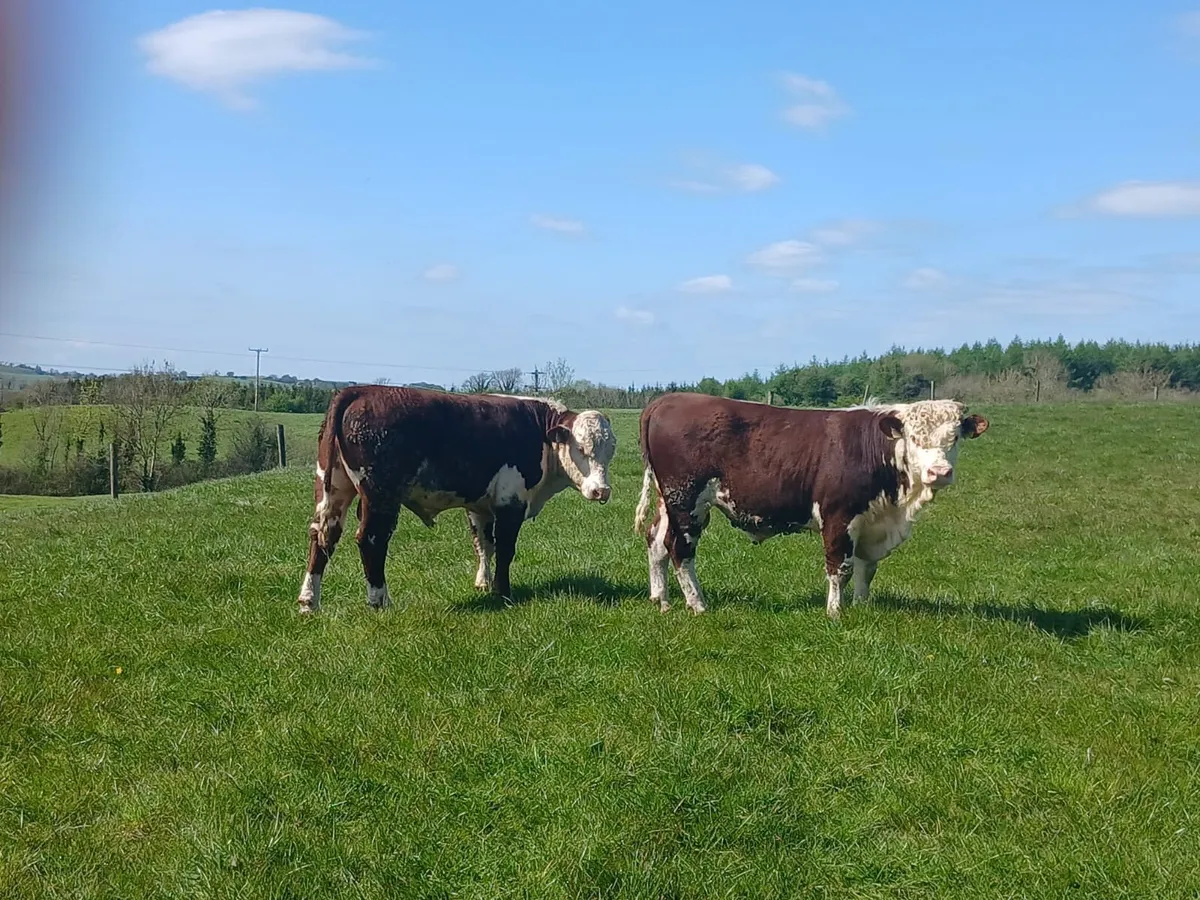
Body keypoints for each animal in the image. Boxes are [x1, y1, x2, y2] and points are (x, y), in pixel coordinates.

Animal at [298, 385, 616, 613]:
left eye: (609, 450)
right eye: (581, 448)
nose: (602, 490)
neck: (539, 434)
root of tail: (358, 390)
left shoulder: (480, 507)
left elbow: (484, 545)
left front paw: (483, 584)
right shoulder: (511, 501)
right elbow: (505, 549)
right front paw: (503, 592)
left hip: (332, 488)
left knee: (322, 536)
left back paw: (309, 601)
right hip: (380, 495)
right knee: (371, 540)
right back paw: (380, 601)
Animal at [633, 392, 989, 619]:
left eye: (955, 437)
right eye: (914, 438)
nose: (940, 472)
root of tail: (666, 399)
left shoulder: (871, 521)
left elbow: (866, 568)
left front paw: (862, 605)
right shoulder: (838, 516)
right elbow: (840, 567)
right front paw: (835, 612)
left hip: (669, 502)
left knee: (656, 541)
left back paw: (661, 599)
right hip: (687, 501)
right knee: (680, 549)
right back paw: (697, 604)